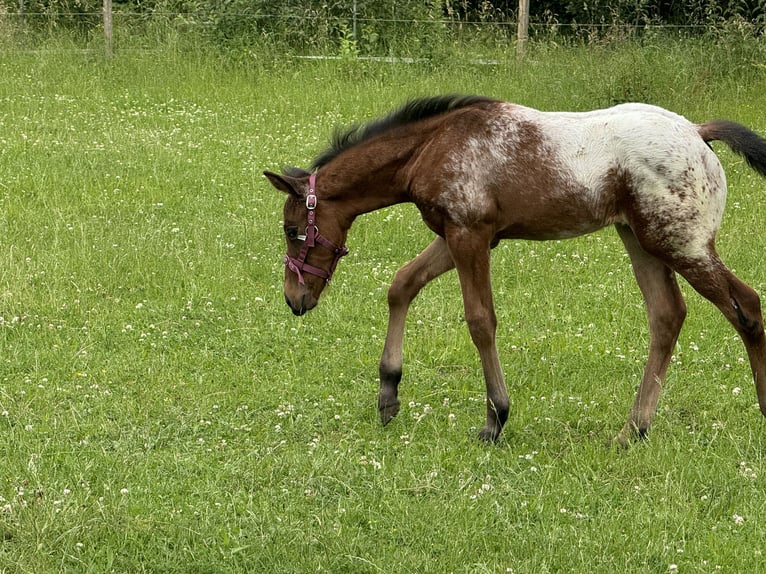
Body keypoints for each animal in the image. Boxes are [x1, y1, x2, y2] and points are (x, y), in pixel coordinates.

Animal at [266, 95, 766, 446]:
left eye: (292, 230)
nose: (294, 299)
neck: (431, 146)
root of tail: (698, 132)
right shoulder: (461, 236)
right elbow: (401, 284)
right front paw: (388, 395)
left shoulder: (468, 235)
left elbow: (480, 320)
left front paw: (495, 419)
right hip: (639, 239)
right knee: (667, 315)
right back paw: (632, 431)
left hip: (680, 244)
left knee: (745, 306)